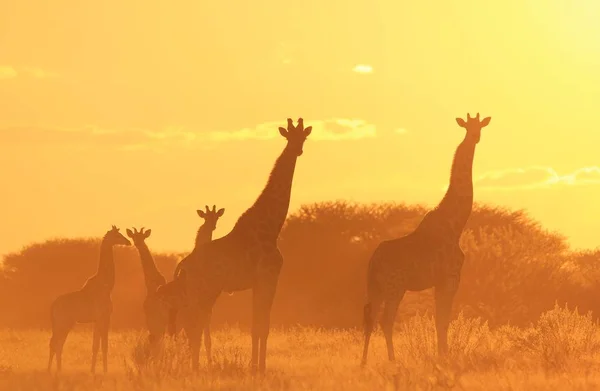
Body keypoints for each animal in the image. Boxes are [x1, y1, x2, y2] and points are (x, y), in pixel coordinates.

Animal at [46, 225, 131, 376]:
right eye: (117, 235)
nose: (128, 242)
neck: (107, 286)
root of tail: (53, 306)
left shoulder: (97, 320)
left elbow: (95, 346)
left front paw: (93, 370)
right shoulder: (104, 317)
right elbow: (104, 346)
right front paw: (105, 371)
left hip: (62, 323)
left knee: (57, 343)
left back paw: (57, 370)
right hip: (64, 322)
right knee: (55, 343)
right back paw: (52, 370)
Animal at [360, 113, 492, 368]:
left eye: (480, 126)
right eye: (468, 126)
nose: (475, 136)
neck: (455, 224)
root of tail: (373, 262)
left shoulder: (439, 281)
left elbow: (440, 319)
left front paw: (442, 355)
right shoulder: (450, 277)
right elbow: (443, 319)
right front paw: (444, 356)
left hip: (375, 286)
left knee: (369, 317)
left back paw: (362, 363)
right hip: (395, 286)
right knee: (386, 320)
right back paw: (393, 361)